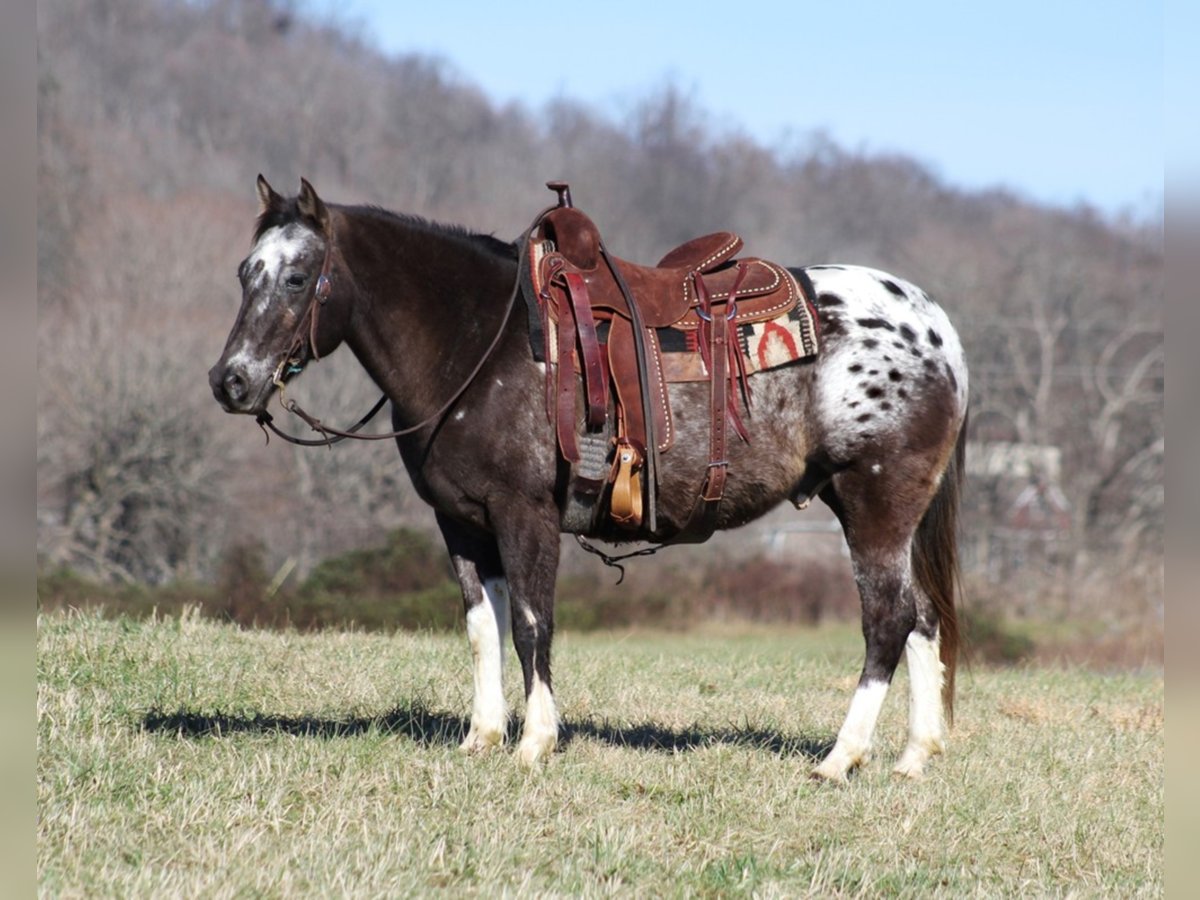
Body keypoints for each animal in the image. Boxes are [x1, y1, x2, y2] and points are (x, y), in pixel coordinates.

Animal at [211, 177, 969, 782]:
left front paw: (534, 743)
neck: (478, 344)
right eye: (245, 272)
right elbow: (482, 628)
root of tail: (934, 328)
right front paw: (482, 737)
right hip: (886, 515)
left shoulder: (525, 514)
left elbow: (531, 625)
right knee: (923, 617)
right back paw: (914, 755)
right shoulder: (460, 522)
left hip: (875, 504)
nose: (230, 381)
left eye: (298, 277)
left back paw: (842, 758)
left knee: (888, 621)